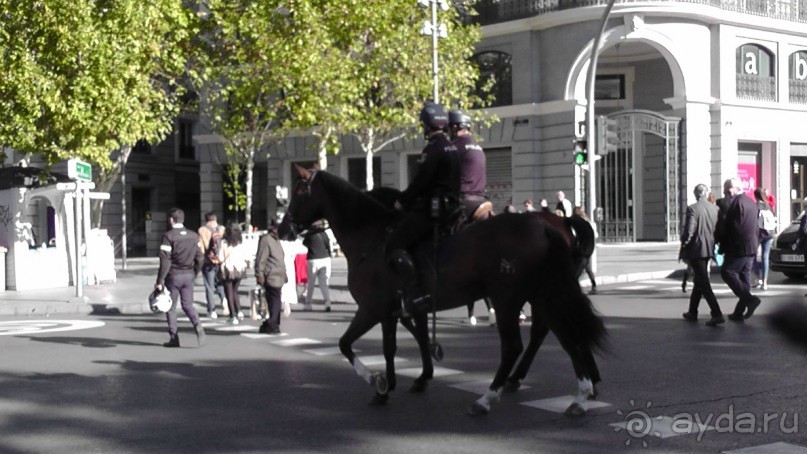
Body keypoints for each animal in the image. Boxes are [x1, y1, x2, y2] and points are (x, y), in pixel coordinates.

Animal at [284, 168, 608, 414]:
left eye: (299, 191)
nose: (283, 228)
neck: (371, 237)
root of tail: (548, 225)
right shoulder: (399, 310)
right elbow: (403, 342)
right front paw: (406, 380)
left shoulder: (374, 309)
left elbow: (350, 344)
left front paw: (379, 382)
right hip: (544, 294)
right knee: (565, 334)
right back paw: (582, 392)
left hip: (509, 299)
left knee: (516, 345)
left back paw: (489, 396)